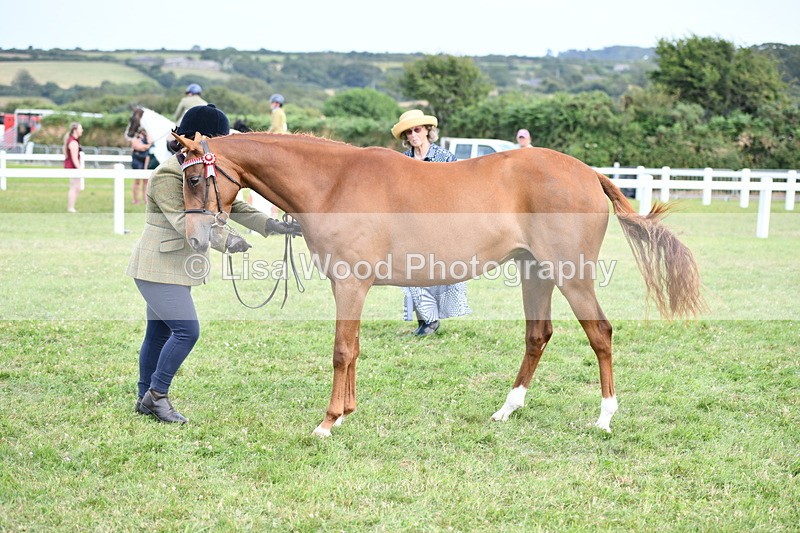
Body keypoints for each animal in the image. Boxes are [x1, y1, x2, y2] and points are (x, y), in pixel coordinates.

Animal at [173, 132, 705, 438]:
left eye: (196, 180)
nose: (195, 237)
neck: (334, 182)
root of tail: (589, 173)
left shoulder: (349, 284)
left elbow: (342, 350)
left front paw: (327, 422)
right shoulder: (356, 287)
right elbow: (355, 348)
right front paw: (346, 413)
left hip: (571, 275)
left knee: (600, 334)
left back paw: (604, 418)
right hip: (535, 273)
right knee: (538, 336)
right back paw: (506, 411)